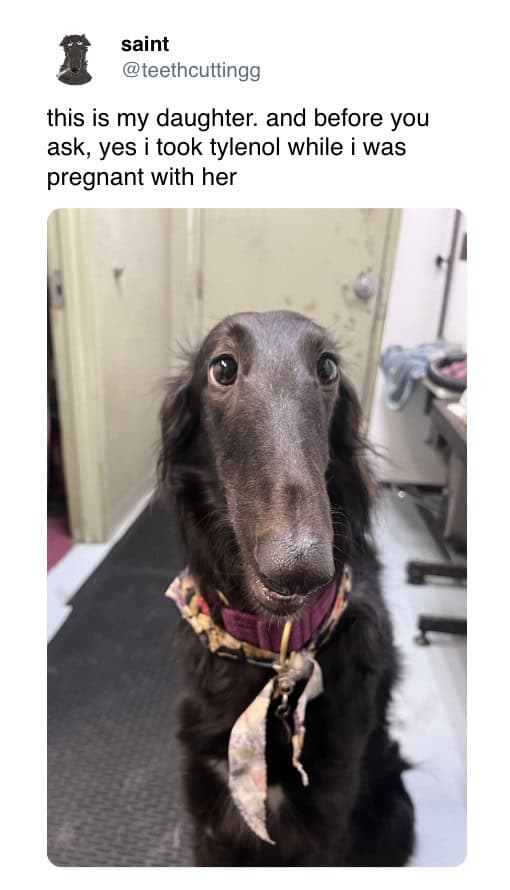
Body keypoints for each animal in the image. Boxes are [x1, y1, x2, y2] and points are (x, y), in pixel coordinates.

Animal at [159, 310, 415, 866]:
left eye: (328, 368)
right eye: (223, 367)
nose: (298, 567)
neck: (272, 653)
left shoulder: (327, 822)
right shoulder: (209, 811)